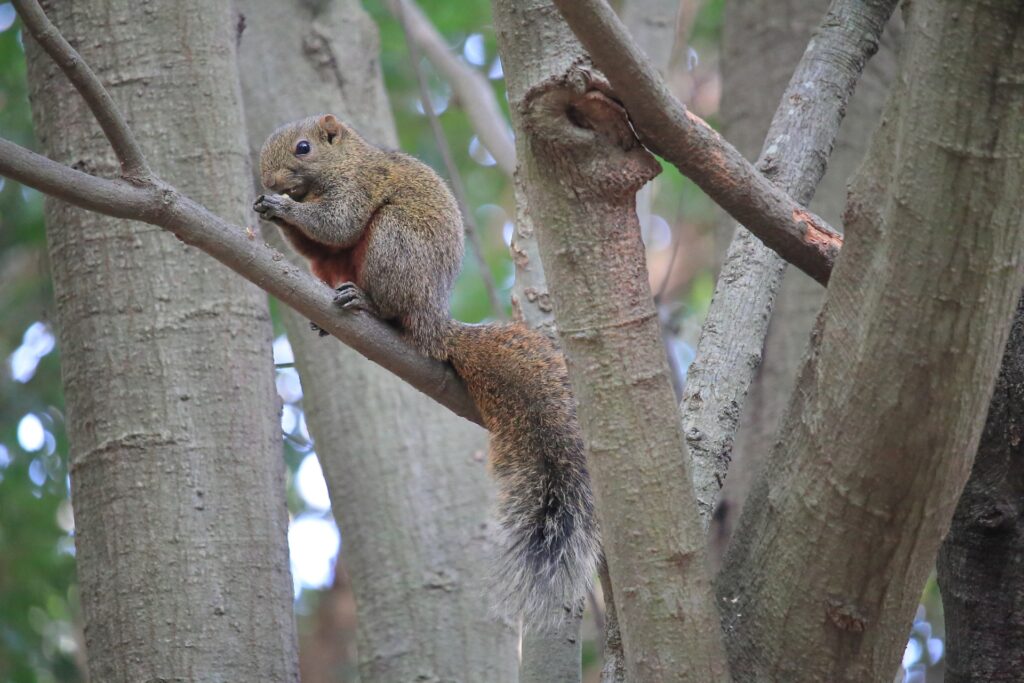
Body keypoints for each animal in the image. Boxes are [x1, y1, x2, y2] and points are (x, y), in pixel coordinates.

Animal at [250, 114, 598, 622]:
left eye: (303, 148)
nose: (270, 182)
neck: (343, 163)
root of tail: (433, 323)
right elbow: (318, 243)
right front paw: (268, 208)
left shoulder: (358, 186)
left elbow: (336, 224)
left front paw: (282, 207)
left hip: (394, 244)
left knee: (386, 298)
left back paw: (366, 304)